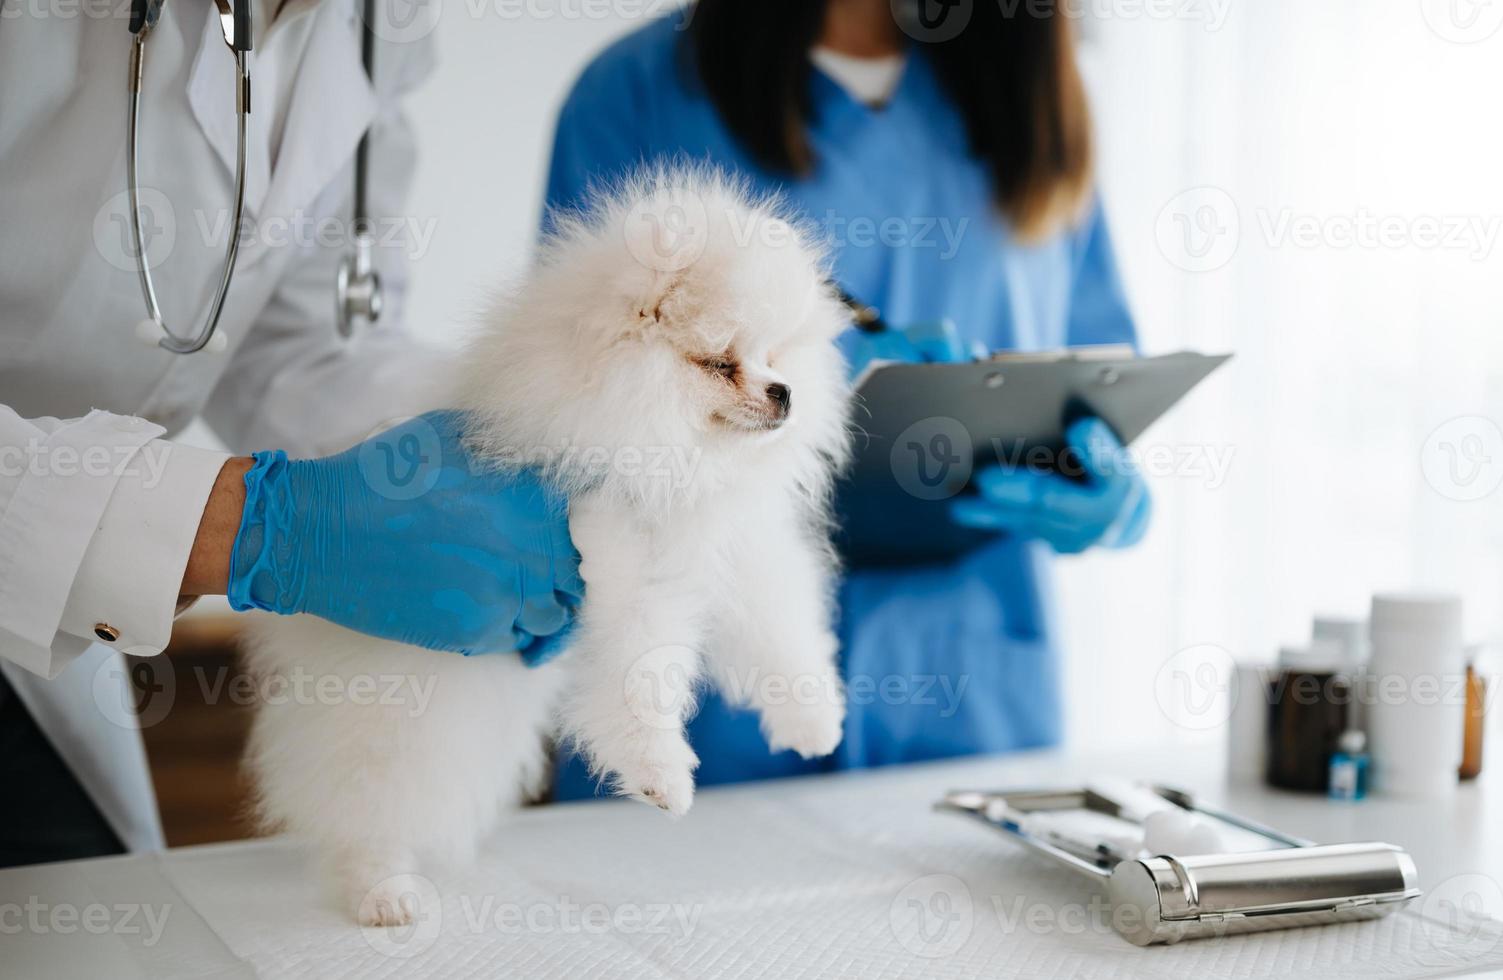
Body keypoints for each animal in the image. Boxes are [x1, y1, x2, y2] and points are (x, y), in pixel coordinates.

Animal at [246, 170, 859, 925]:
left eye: (776, 356)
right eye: (719, 363)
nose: (784, 393)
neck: (672, 453)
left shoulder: (734, 548)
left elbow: (780, 631)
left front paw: (813, 721)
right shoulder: (618, 557)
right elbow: (640, 672)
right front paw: (661, 776)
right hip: (401, 712)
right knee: (366, 799)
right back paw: (383, 891)